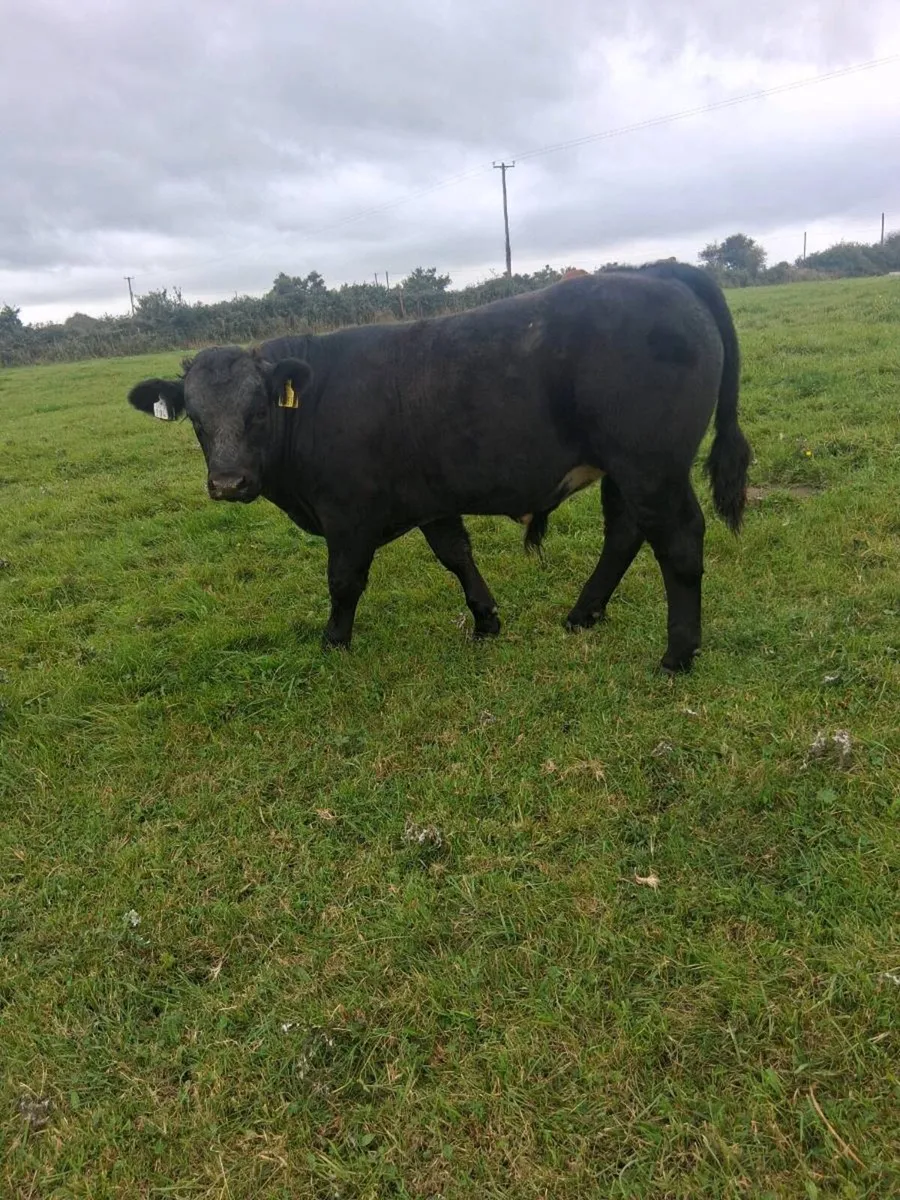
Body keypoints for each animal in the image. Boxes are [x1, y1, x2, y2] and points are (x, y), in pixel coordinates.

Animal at [126, 262, 751, 672]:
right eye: (196, 420)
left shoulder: (347, 513)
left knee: (678, 540)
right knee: (623, 533)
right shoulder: (431, 499)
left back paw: (677, 654)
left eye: (258, 411)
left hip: (651, 465)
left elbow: (344, 579)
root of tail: (657, 273)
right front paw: (486, 620)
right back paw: (583, 614)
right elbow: (456, 555)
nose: (228, 483)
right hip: (623, 468)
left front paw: (333, 642)